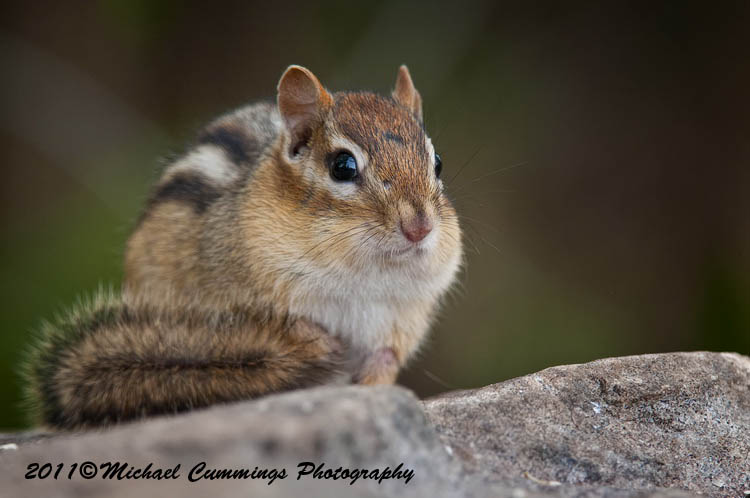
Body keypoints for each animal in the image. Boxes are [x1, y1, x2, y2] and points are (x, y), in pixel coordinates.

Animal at [23, 65, 463, 430]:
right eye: (343, 166)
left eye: (438, 162)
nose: (419, 227)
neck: (360, 267)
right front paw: (314, 341)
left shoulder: (404, 316)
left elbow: (386, 357)